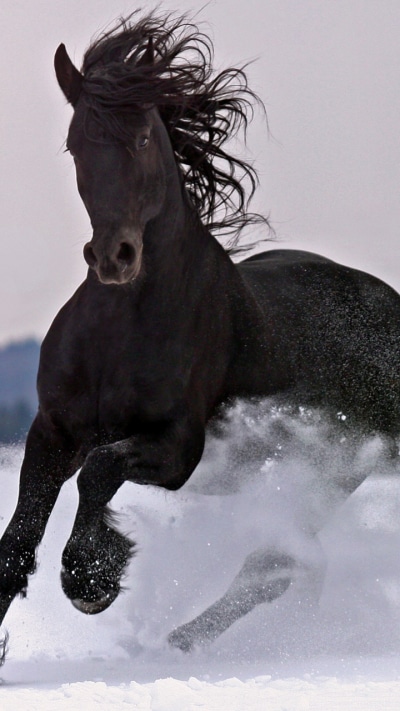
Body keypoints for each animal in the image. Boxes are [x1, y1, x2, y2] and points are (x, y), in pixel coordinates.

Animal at [1, 11, 400, 660]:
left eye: (142, 138)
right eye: (74, 143)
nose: (114, 257)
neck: (121, 329)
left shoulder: (178, 447)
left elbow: (99, 472)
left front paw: (91, 578)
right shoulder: (52, 433)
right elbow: (14, 548)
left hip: (331, 471)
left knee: (274, 565)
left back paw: (172, 644)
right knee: (281, 565)